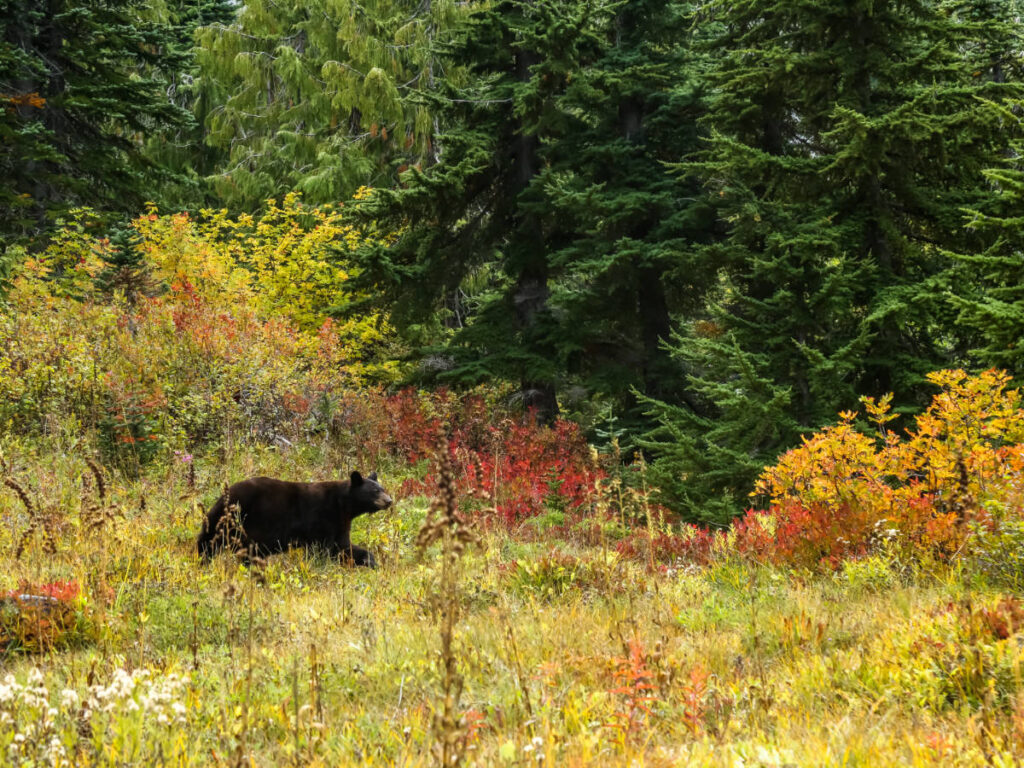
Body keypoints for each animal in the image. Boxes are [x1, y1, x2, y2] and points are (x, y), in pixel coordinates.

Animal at [196, 471, 392, 567]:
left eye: (382, 488)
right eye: (375, 491)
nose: (389, 501)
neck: (343, 505)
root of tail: (224, 494)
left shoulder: (340, 523)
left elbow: (344, 546)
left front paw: (372, 562)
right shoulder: (323, 517)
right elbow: (324, 549)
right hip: (232, 518)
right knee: (208, 540)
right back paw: (203, 561)